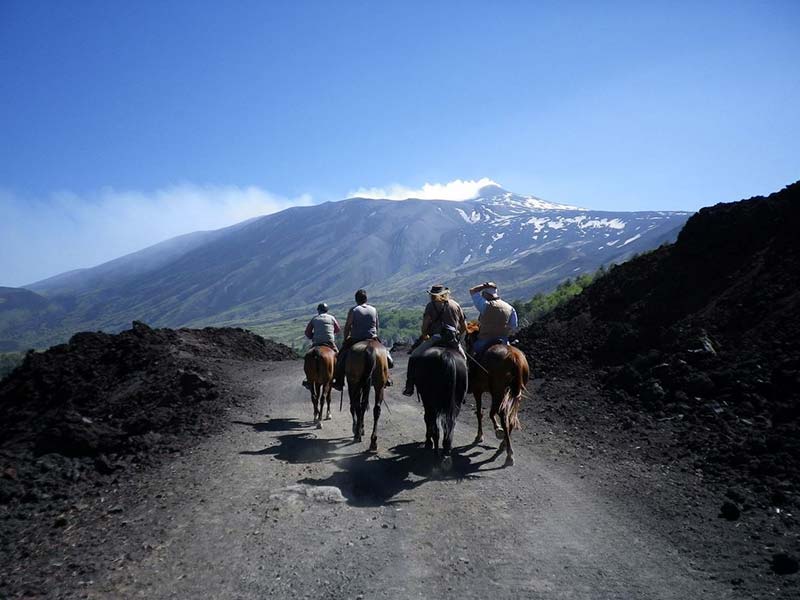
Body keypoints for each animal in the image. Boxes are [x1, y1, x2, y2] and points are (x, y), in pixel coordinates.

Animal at [466, 322, 528, 466]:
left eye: (467, 339)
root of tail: (514, 356)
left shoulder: (478, 391)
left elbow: (481, 413)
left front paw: (480, 435)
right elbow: (491, 412)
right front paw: (497, 430)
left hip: (499, 391)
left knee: (504, 416)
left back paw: (509, 453)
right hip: (514, 393)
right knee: (510, 418)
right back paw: (504, 445)